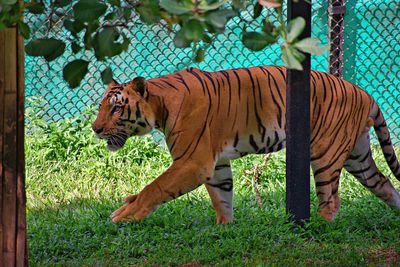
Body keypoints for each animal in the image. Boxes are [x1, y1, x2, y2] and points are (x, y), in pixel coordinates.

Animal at [91, 66, 400, 224]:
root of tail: (366, 93)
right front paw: (224, 229)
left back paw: (316, 228)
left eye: (116, 108)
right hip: (357, 156)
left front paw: (123, 215)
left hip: (326, 153)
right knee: (384, 183)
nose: (95, 129)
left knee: (332, 200)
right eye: (101, 107)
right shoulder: (215, 164)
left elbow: (153, 189)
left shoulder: (193, 162)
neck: (160, 104)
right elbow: (222, 197)